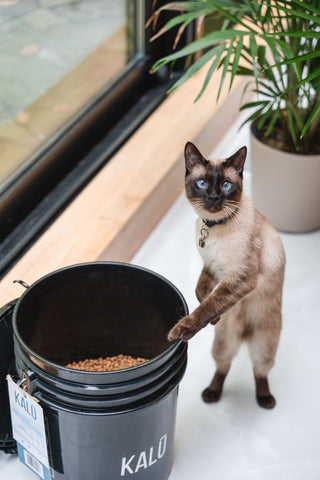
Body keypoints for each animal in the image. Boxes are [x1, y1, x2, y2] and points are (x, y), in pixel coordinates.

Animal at [169, 142, 286, 408]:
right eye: (202, 183)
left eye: (226, 185)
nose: (213, 198)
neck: (212, 227)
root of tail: (244, 337)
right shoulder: (212, 267)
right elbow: (202, 293)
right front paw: (215, 319)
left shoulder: (239, 279)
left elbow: (207, 306)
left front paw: (181, 330)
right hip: (224, 342)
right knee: (223, 366)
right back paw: (211, 394)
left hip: (264, 345)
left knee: (259, 371)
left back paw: (265, 400)